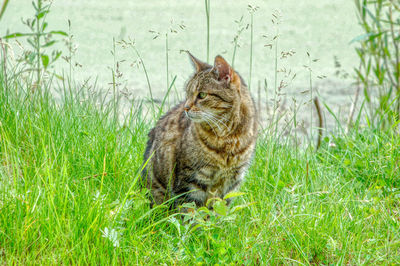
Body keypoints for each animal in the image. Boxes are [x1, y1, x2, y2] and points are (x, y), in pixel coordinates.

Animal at [142, 52, 258, 210]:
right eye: (187, 94)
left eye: (202, 95)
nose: (185, 107)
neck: (227, 137)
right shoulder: (189, 182)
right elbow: (191, 213)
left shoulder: (230, 184)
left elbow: (218, 211)